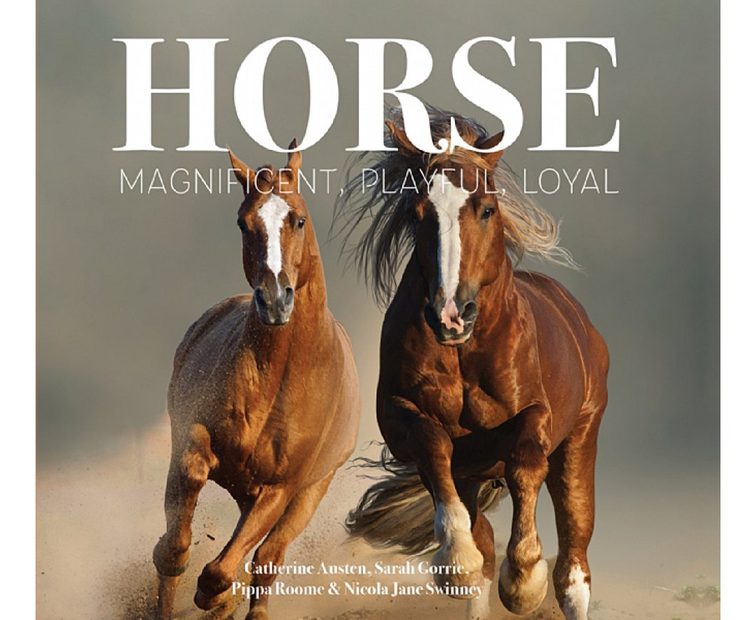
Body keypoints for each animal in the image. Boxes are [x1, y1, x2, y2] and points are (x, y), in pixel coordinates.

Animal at [152, 143, 360, 620]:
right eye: (244, 223)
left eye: (298, 219)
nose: (276, 299)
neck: (277, 379)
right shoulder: (193, 437)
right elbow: (178, 535)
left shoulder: (280, 490)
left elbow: (224, 569)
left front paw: (217, 596)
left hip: (309, 494)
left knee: (268, 559)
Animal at [340, 110, 609, 620]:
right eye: (417, 214)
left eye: (486, 209)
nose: (451, 314)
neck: (466, 353)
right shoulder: (404, 418)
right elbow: (434, 450)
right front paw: (458, 562)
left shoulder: (536, 416)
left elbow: (526, 462)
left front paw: (523, 580)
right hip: (472, 474)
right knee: (481, 539)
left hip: (580, 443)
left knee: (574, 570)